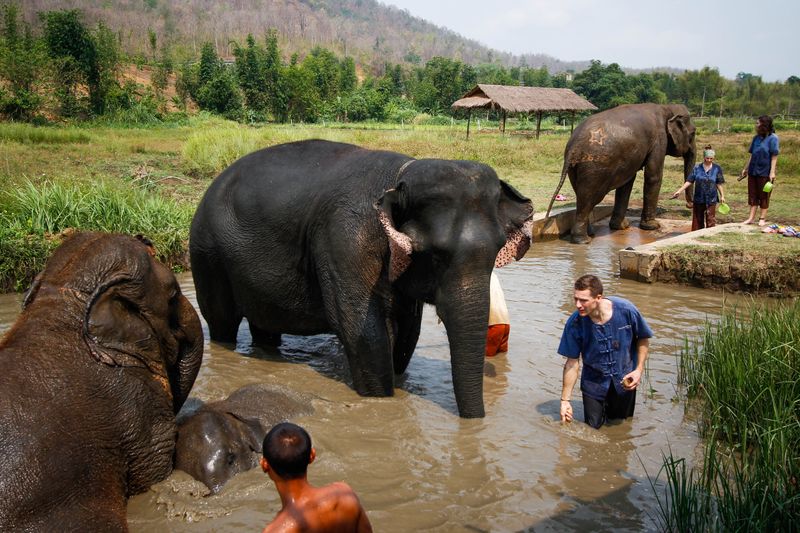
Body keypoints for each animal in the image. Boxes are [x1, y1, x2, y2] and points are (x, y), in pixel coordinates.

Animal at [190, 139, 533, 418]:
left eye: (498, 249)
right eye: (435, 255)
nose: (475, 424)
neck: (399, 178)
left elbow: (408, 331)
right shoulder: (345, 239)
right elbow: (362, 331)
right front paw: (381, 403)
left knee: (264, 324)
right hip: (207, 254)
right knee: (222, 322)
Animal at [545, 103, 696, 243]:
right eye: (693, 133)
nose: (690, 205)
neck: (666, 107)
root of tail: (573, 146)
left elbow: (627, 182)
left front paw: (622, 227)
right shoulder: (659, 140)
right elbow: (653, 176)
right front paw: (653, 226)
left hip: (575, 167)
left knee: (581, 196)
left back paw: (590, 234)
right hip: (595, 167)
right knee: (589, 198)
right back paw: (583, 240)